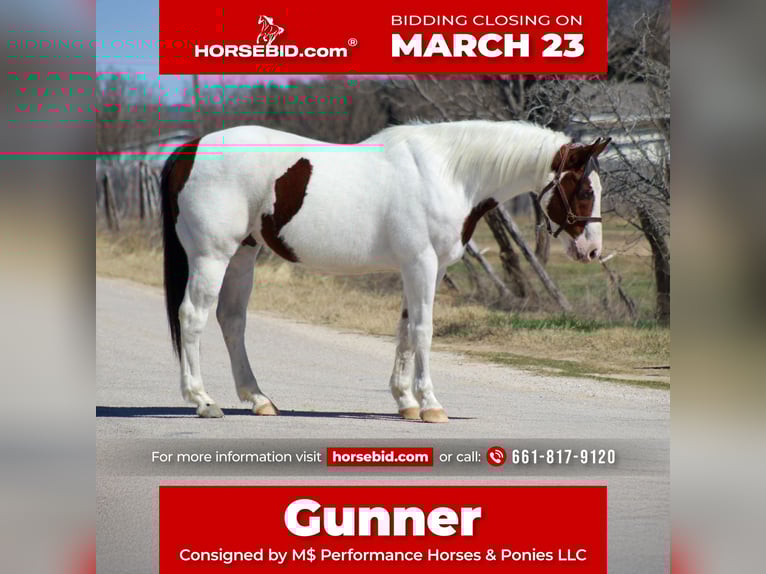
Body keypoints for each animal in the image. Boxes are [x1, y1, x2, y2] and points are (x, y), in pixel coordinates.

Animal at [160, 120, 610, 422]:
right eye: (586, 190)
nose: (592, 250)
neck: (448, 173)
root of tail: (189, 150)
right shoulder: (422, 264)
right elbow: (423, 331)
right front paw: (431, 405)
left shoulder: (421, 269)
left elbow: (405, 331)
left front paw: (406, 403)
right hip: (212, 256)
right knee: (193, 318)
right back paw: (203, 400)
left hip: (242, 256)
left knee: (232, 320)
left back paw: (258, 399)